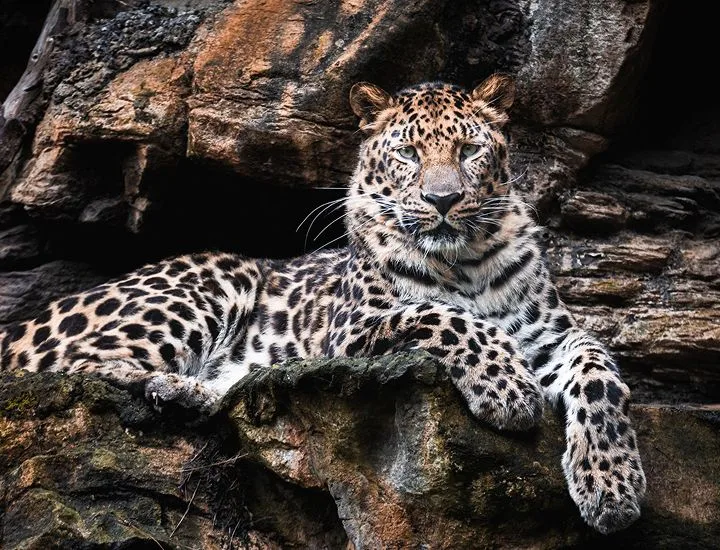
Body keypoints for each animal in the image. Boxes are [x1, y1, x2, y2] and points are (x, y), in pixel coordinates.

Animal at [0, 74, 645, 534]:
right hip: (216, 278)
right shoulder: (352, 331)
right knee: (77, 369)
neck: (463, 261)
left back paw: (193, 392)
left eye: (469, 151)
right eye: (409, 154)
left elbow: (600, 372)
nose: (442, 200)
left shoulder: (552, 336)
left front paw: (611, 485)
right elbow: (445, 316)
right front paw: (508, 390)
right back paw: (170, 387)